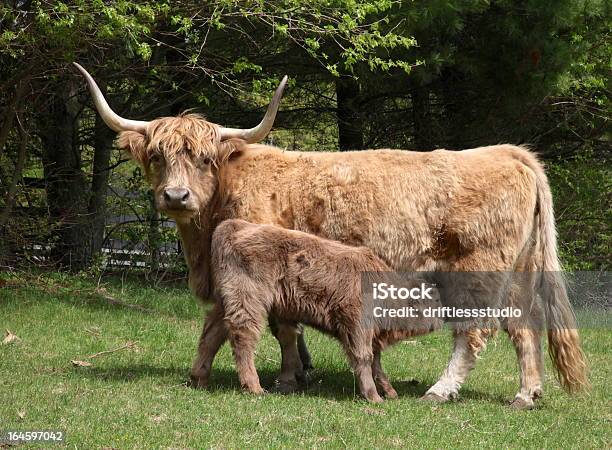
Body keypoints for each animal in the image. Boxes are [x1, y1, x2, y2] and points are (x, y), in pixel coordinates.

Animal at [74, 61, 592, 410]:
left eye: (203, 159)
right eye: (157, 156)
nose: (176, 196)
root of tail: (507, 152)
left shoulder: (268, 266)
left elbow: (283, 327)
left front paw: (286, 378)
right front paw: (301, 371)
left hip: (475, 270)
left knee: (475, 331)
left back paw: (439, 391)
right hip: (518, 271)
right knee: (524, 326)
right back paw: (526, 394)